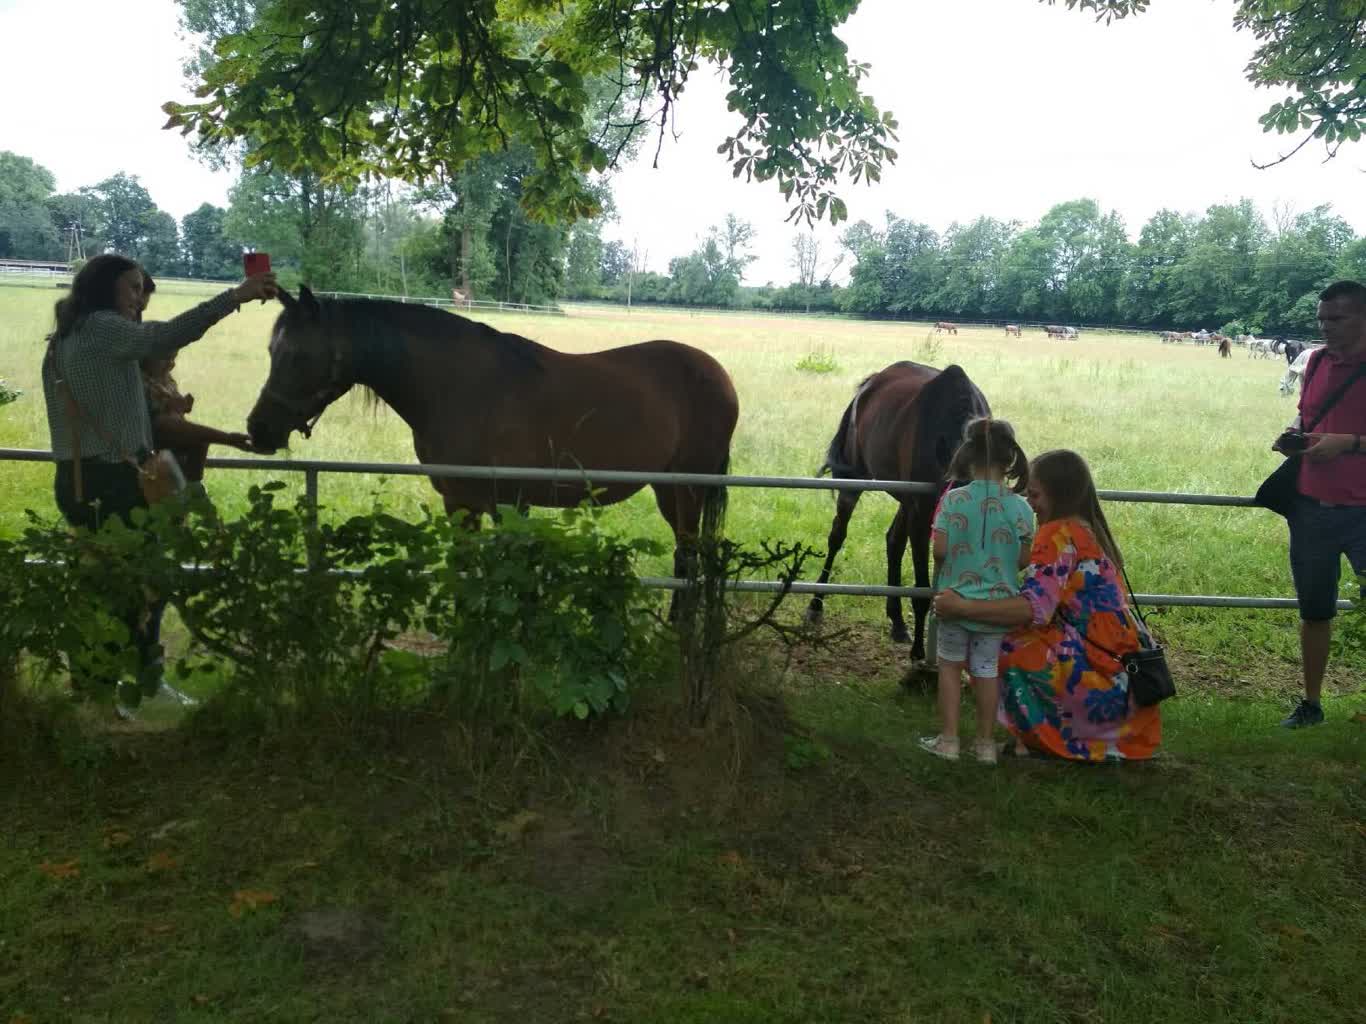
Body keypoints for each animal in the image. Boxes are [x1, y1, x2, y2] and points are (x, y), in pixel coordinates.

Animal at [245, 289, 737, 589]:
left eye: (298, 355)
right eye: (271, 351)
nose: (258, 429)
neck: (459, 388)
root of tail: (718, 374)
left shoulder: (509, 504)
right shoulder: (459, 503)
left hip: (689, 491)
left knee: (690, 559)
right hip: (668, 490)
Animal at [803, 365, 988, 660]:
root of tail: (873, 380)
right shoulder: (922, 515)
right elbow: (922, 588)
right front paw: (919, 652)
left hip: (904, 500)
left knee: (893, 542)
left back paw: (898, 622)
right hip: (853, 481)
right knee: (837, 536)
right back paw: (815, 604)